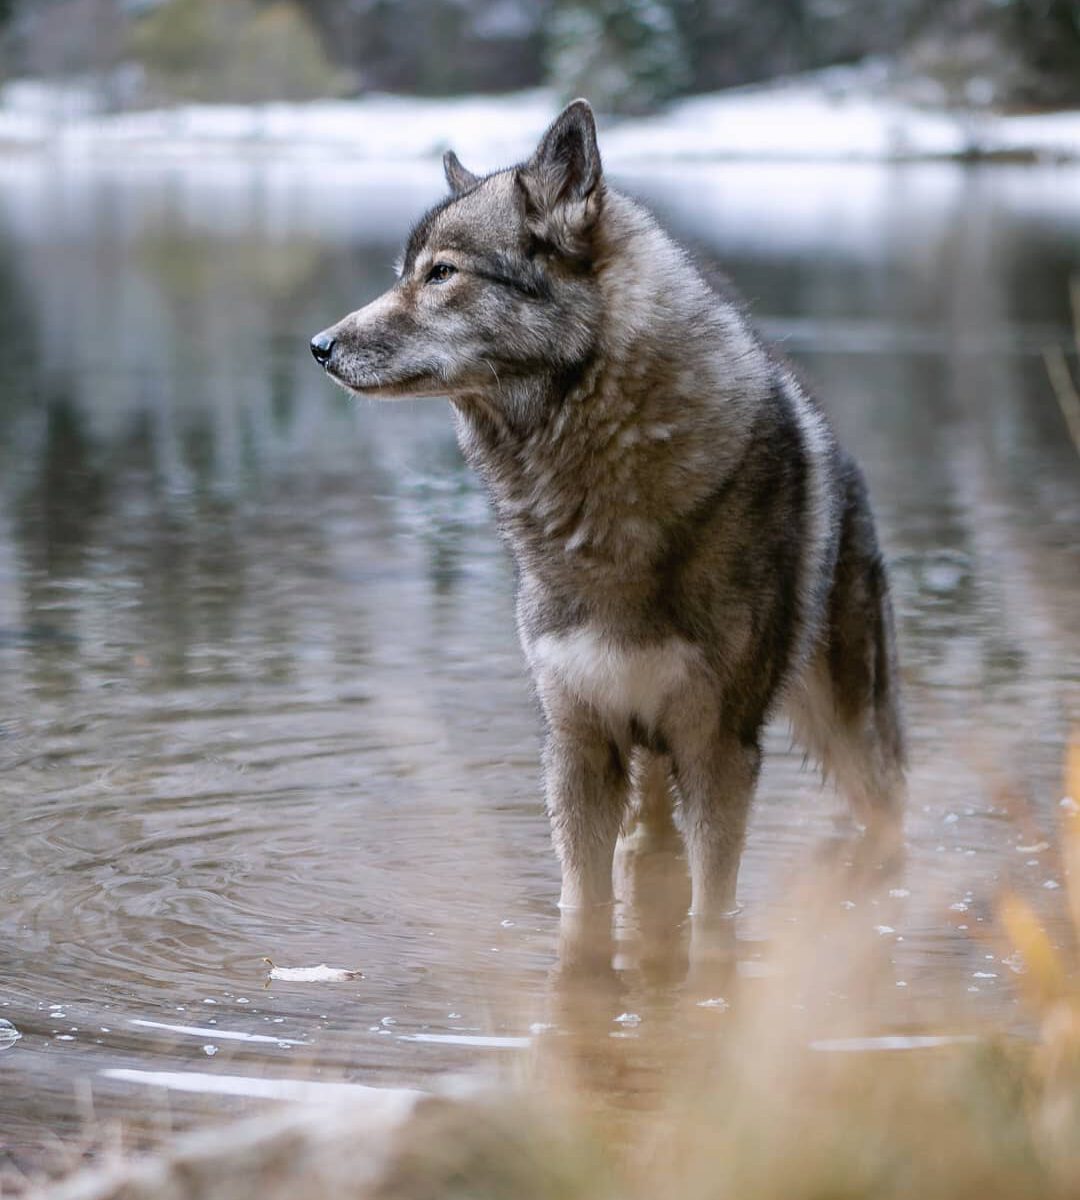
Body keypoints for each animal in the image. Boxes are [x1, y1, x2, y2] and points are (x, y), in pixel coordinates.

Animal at [309, 98, 902, 916]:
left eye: (442, 273)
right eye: (404, 275)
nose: (319, 346)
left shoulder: (719, 748)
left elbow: (713, 914)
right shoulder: (577, 743)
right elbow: (581, 909)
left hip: (844, 731)